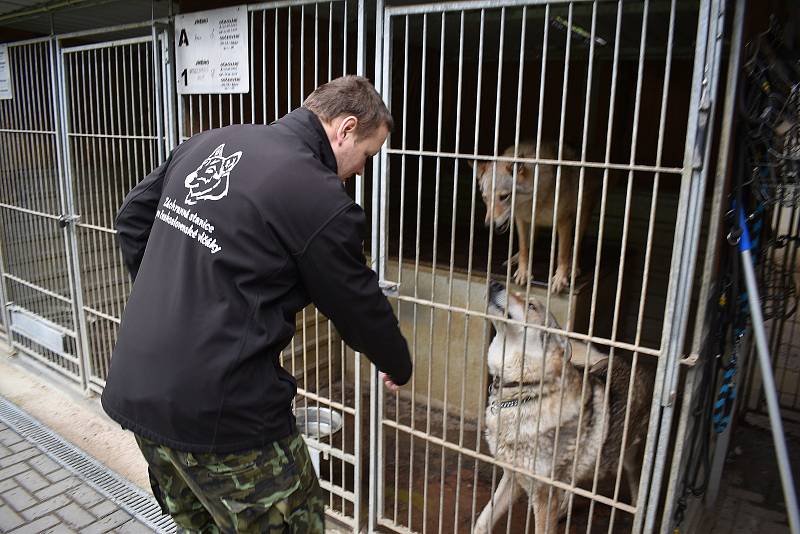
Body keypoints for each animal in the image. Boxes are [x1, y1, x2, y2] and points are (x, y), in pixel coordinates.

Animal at [468, 142, 600, 294]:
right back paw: (514, 258)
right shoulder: (521, 219)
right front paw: (523, 272)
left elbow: (562, 253)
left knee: (576, 246)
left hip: (582, 217)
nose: (489, 225)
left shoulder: (563, 221)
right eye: (485, 198)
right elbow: (524, 247)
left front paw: (560, 278)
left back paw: (573, 268)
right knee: (531, 240)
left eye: (504, 196)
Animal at [476, 282, 648, 532]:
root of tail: (626, 361)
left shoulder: (543, 495)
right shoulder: (512, 477)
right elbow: (482, 521)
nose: (495, 283)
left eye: (531, 305)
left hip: (630, 456)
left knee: (635, 487)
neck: (525, 390)